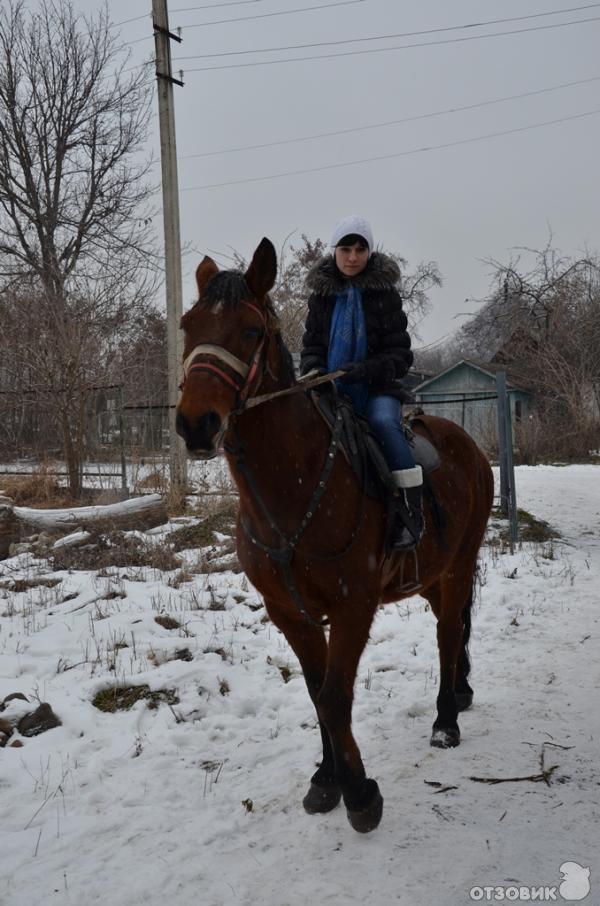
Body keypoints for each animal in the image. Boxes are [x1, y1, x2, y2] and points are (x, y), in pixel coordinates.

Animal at [175, 237, 492, 828]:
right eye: (188, 325)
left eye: (250, 330)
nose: (195, 424)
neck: (292, 492)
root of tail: (467, 444)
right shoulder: (289, 612)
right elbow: (316, 691)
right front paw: (327, 780)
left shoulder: (353, 606)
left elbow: (336, 694)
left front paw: (360, 794)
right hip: (433, 576)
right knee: (454, 626)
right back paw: (459, 694)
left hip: (460, 564)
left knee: (447, 634)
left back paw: (445, 720)